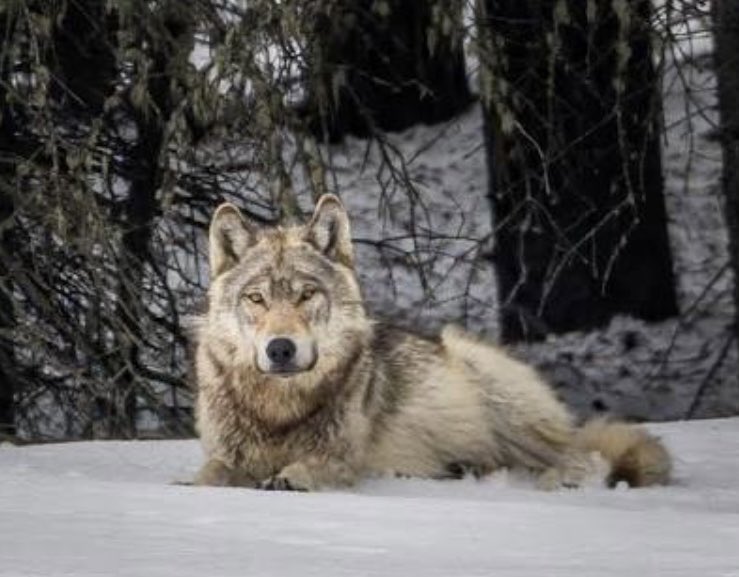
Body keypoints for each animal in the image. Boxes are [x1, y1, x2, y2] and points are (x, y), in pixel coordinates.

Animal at [193, 194, 671, 491]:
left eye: (306, 295)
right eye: (256, 298)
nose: (280, 349)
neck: (278, 410)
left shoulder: (342, 458)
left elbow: (314, 467)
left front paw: (290, 478)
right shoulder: (225, 455)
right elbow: (209, 474)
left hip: (493, 387)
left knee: (582, 458)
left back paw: (556, 482)